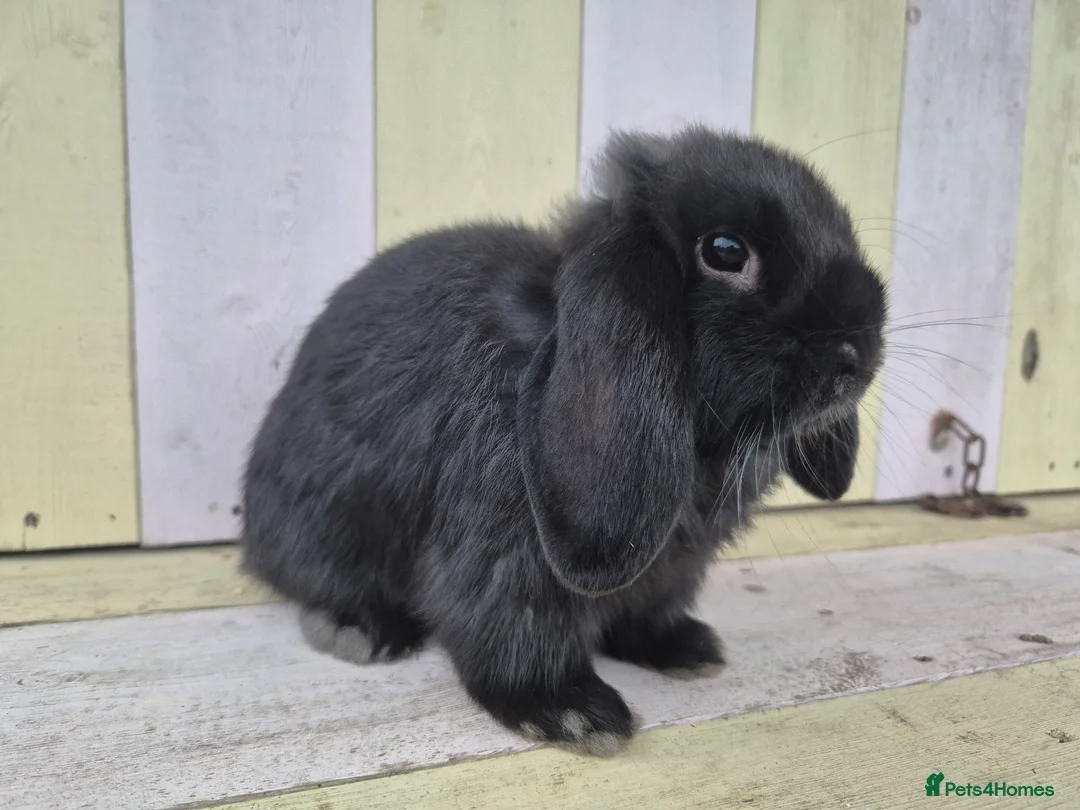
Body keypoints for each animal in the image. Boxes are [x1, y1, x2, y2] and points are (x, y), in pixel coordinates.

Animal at [240, 124, 887, 757]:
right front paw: (573, 713)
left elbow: (649, 612)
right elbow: (514, 634)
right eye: (725, 251)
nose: (856, 354)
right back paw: (361, 629)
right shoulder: (506, 560)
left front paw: (685, 649)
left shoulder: (673, 568)